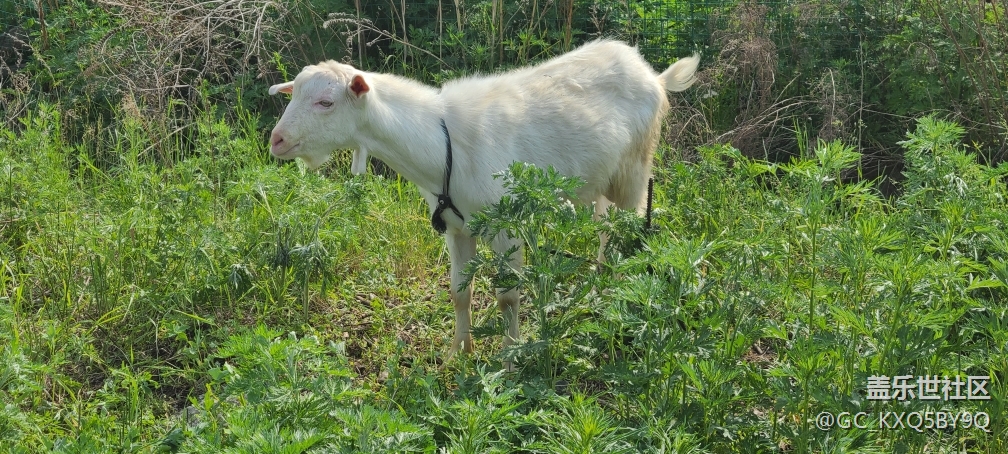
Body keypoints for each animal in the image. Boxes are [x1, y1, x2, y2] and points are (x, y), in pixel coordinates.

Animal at [268, 39, 699, 368]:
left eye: (326, 102)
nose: (277, 140)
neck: (443, 145)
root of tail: (653, 75)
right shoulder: (457, 228)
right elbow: (460, 292)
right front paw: (458, 352)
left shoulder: (507, 228)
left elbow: (507, 299)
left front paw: (510, 360)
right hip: (603, 177)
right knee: (603, 223)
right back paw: (596, 279)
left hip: (634, 169)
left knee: (629, 222)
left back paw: (617, 289)